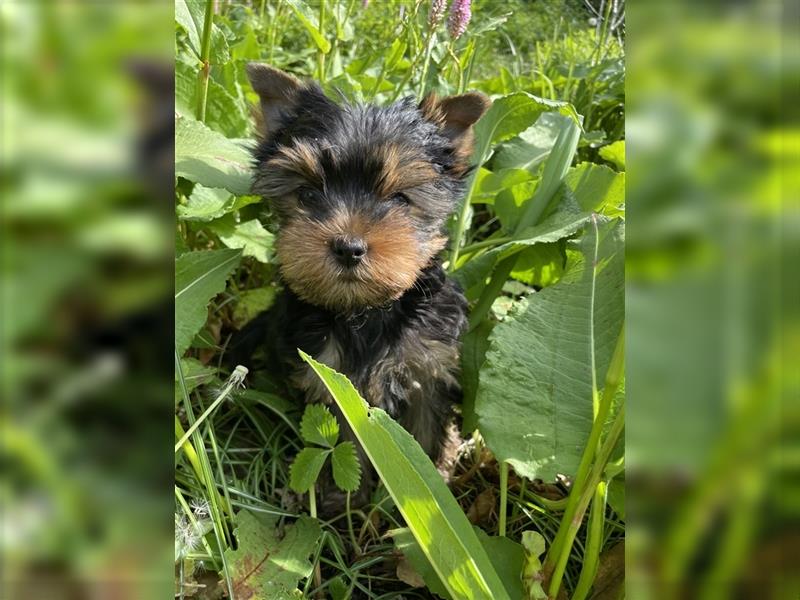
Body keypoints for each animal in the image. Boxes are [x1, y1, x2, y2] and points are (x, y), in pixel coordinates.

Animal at [233, 63, 488, 508]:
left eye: (400, 199)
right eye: (308, 194)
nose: (348, 247)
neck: (364, 312)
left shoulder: (427, 369)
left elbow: (427, 426)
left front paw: (431, 482)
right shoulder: (330, 378)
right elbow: (345, 436)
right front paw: (342, 500)